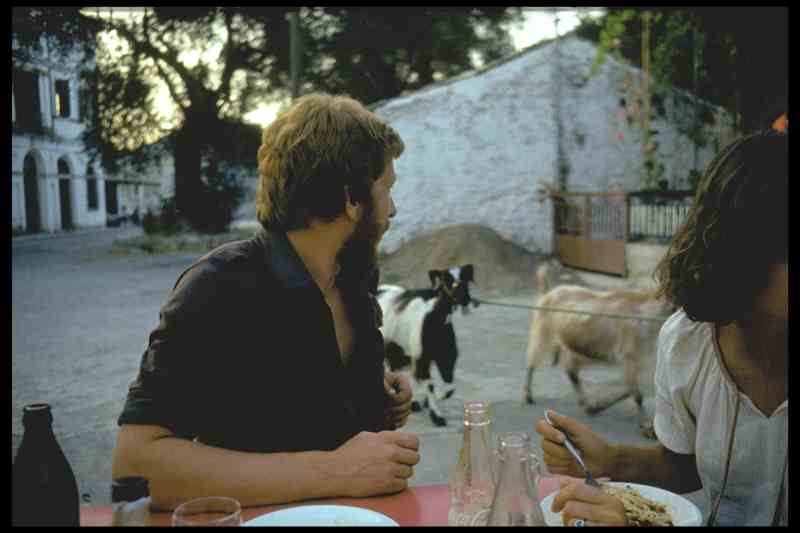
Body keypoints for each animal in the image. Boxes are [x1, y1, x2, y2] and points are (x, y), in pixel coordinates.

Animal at [377, 265, 478, 427]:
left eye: (465, 278)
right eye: (447, 280)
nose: (466, 299)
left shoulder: (445, 357)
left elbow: (450, 386)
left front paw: (432, 400)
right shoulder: (421, 356)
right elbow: (429, 384)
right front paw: (437, 416)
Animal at [523, 263, 673, 438]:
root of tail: (548, 292)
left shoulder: (638, 360)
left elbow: (628, 390)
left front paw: (596, 407)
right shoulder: (629, 357)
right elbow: (636, 394)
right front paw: (646, 425)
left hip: (576, 348)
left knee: (571, 372)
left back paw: (585, 402)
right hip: (543, 332)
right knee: (533, 361)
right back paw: (528, 394)